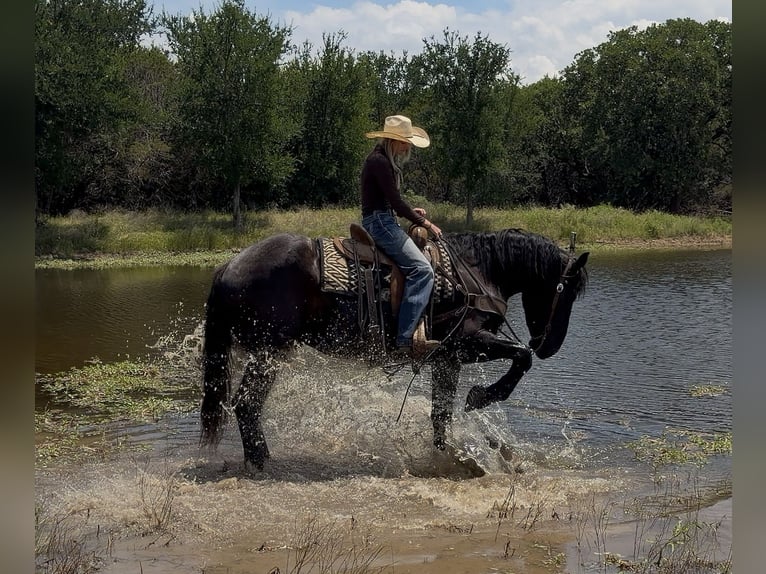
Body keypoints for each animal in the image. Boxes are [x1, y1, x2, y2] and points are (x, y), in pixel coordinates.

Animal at [199, 227, 589, 471]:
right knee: (246, 404)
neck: (474, 271)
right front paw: (480, 397)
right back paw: (259, 462)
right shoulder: (465, 344)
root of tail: (228, 266)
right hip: (269, 352)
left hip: (268, 353)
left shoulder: (446, 358)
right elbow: (520, 357)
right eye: (566, 290)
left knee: (246, 405)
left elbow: (440, 413)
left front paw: (448, 456)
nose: (549, 346)